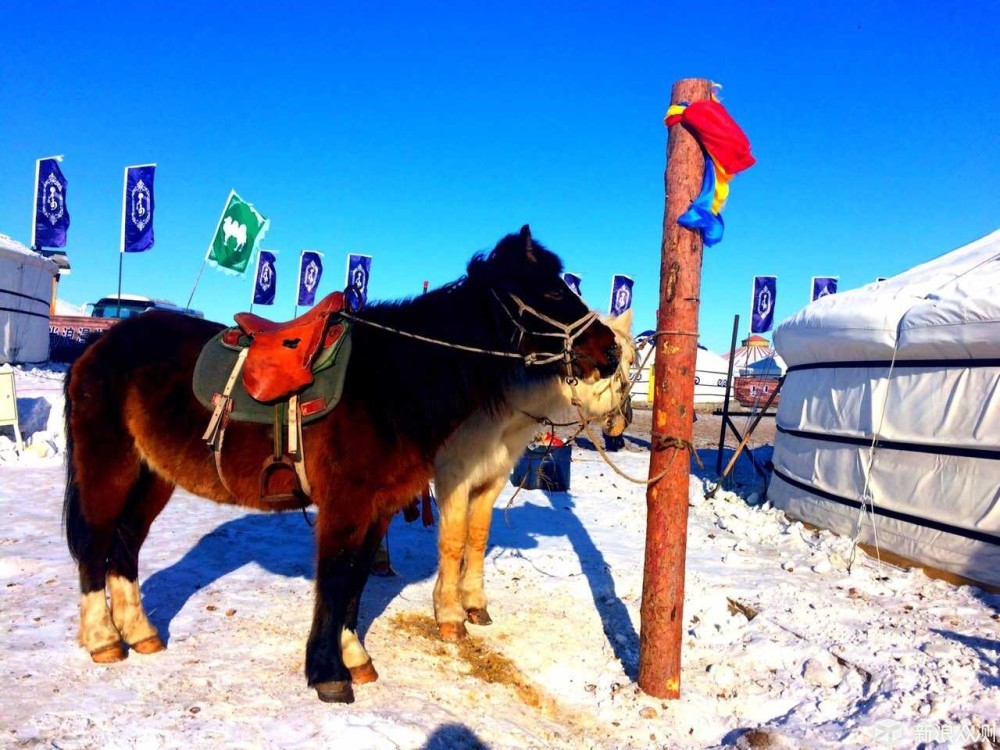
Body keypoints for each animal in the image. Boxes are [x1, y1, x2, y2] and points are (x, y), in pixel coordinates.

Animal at [62, 226, 620, 708]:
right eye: (549, 291)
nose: (610, 349)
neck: (392, 382)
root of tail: (96, 346)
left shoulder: (379, 509)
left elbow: (354, 587)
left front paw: (354, 657)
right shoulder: (346, 506)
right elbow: (333, 583)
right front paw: (327, 673)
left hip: (152, 476)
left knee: (126, 545)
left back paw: (140, 633)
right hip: (109, 467)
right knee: (95, 543)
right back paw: (103, 639)